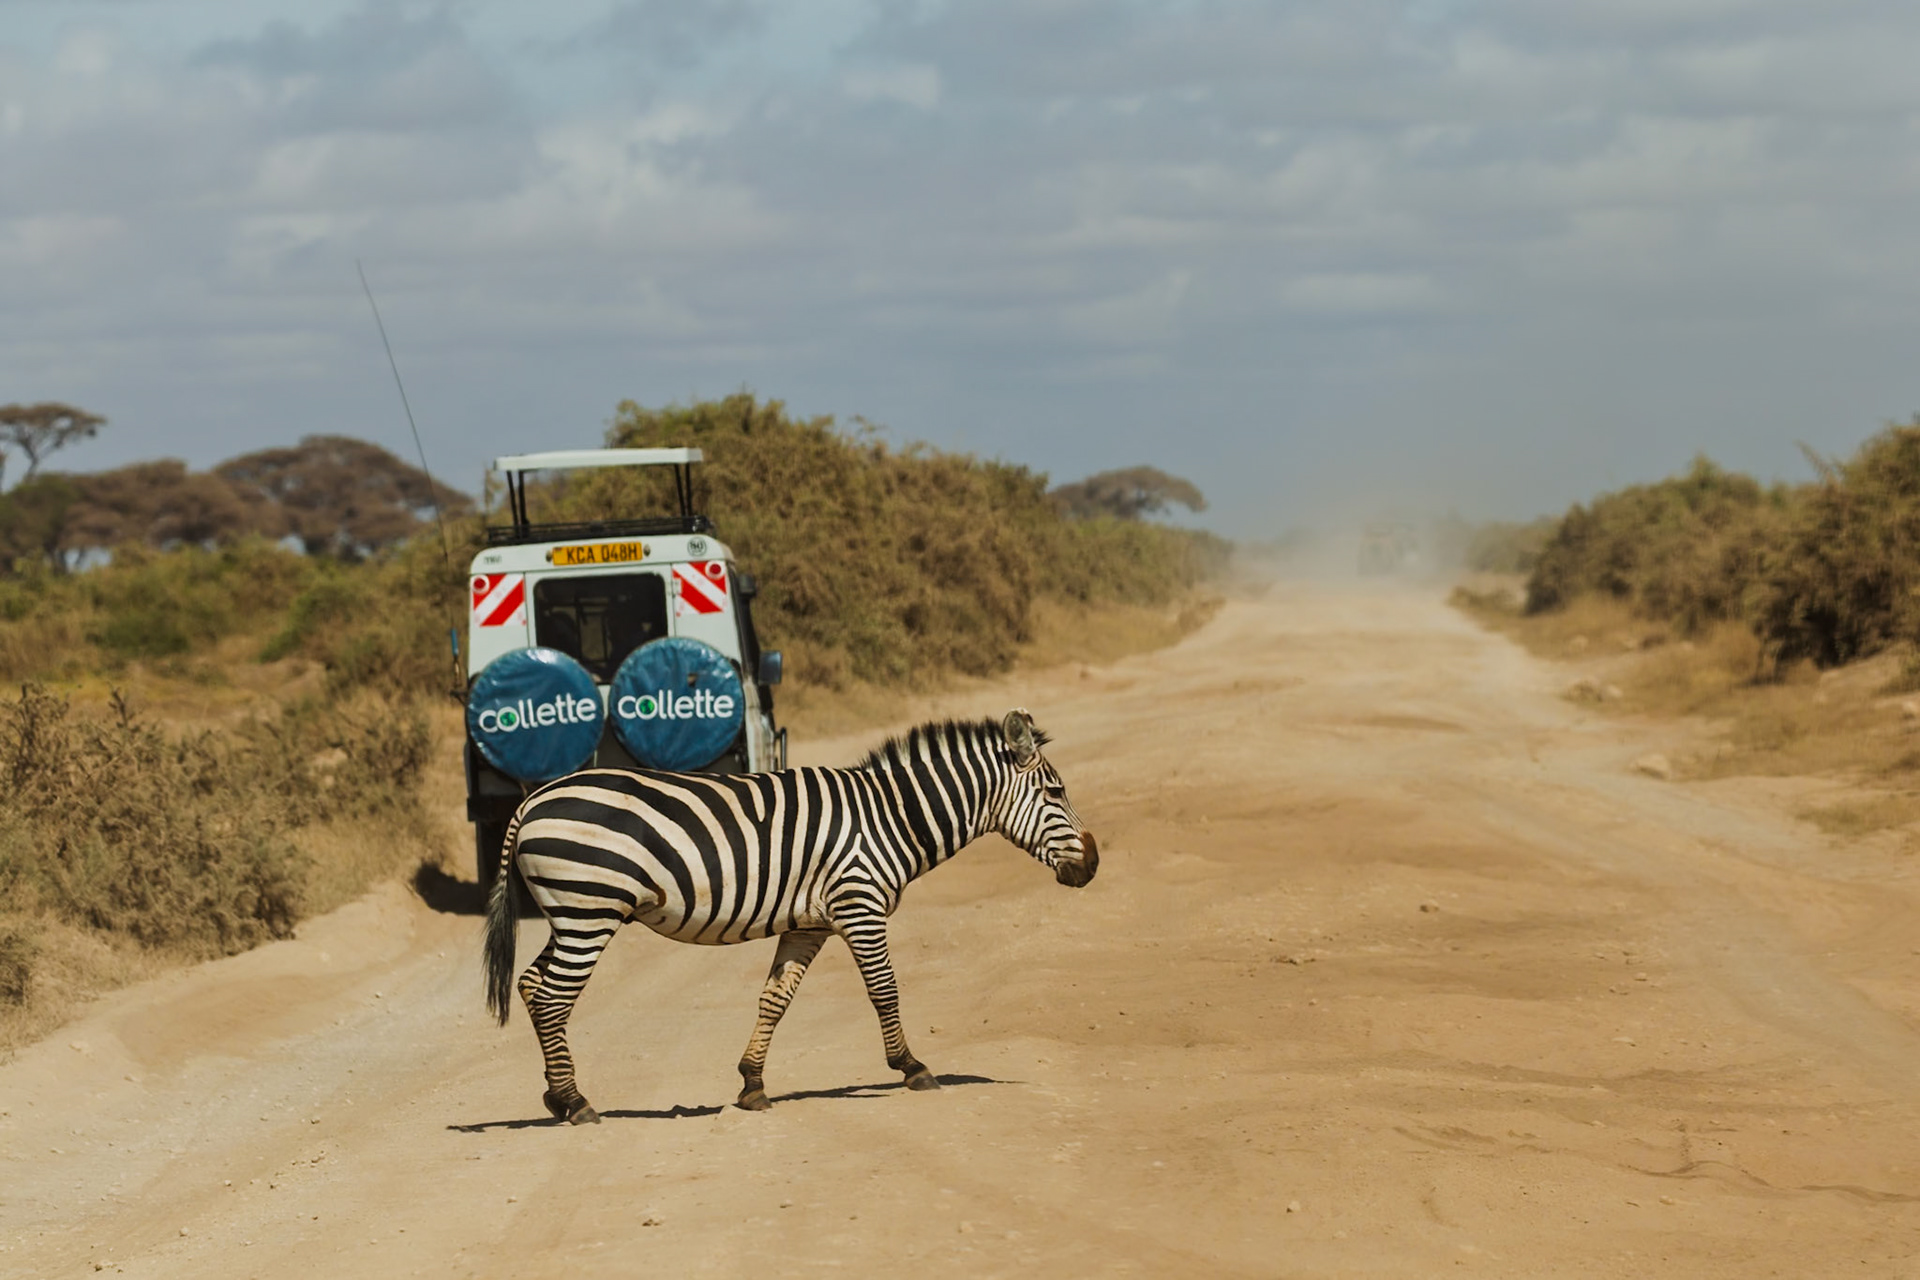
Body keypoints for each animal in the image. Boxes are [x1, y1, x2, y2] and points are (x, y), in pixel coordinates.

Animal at [482, 708, 1098, 1124]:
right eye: (1055, 791)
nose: (1092, 865)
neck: (891, 816)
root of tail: (531, 800)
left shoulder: (810, 923)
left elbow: (775, 999)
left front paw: (752, 1084)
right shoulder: (859, 904)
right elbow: (884, 989)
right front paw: (912, 1067)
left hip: (571, 912)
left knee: (532, 984)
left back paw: (554, 1095)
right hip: (589, 910)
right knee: (552, 996)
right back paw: (577, 1102)